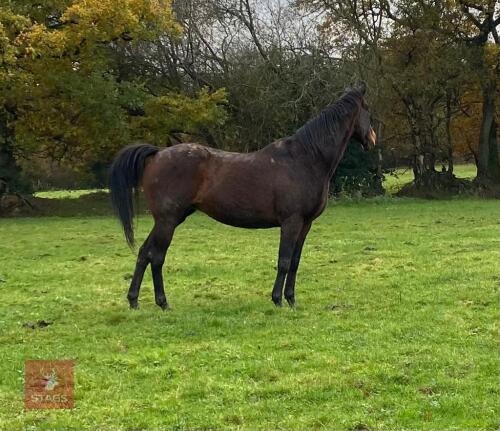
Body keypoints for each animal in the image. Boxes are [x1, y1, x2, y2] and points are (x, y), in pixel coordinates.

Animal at [108, 86, 376, 310]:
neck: (305, 159)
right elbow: (284, 260)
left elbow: (295, 261)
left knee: (144, 253)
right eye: (367, 109)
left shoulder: (305, 224)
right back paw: (162, 302)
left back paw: (136, 301)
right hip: (167, 220)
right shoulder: (291, 221)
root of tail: (158, 153)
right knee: (157, 257)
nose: (372, 139)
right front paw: (277, 300)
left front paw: (291, 299)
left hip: (169, 220)